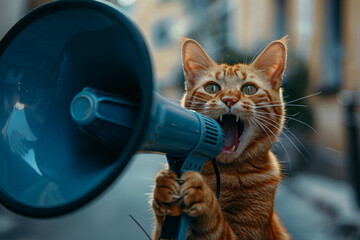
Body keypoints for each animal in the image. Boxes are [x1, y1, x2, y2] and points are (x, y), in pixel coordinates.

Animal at [151, 36, 290, 239]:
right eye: (212, 88)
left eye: (249, 89)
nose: (229, 100)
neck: (226, 175)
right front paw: (163, 186)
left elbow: (217, 227)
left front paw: (203, 196)